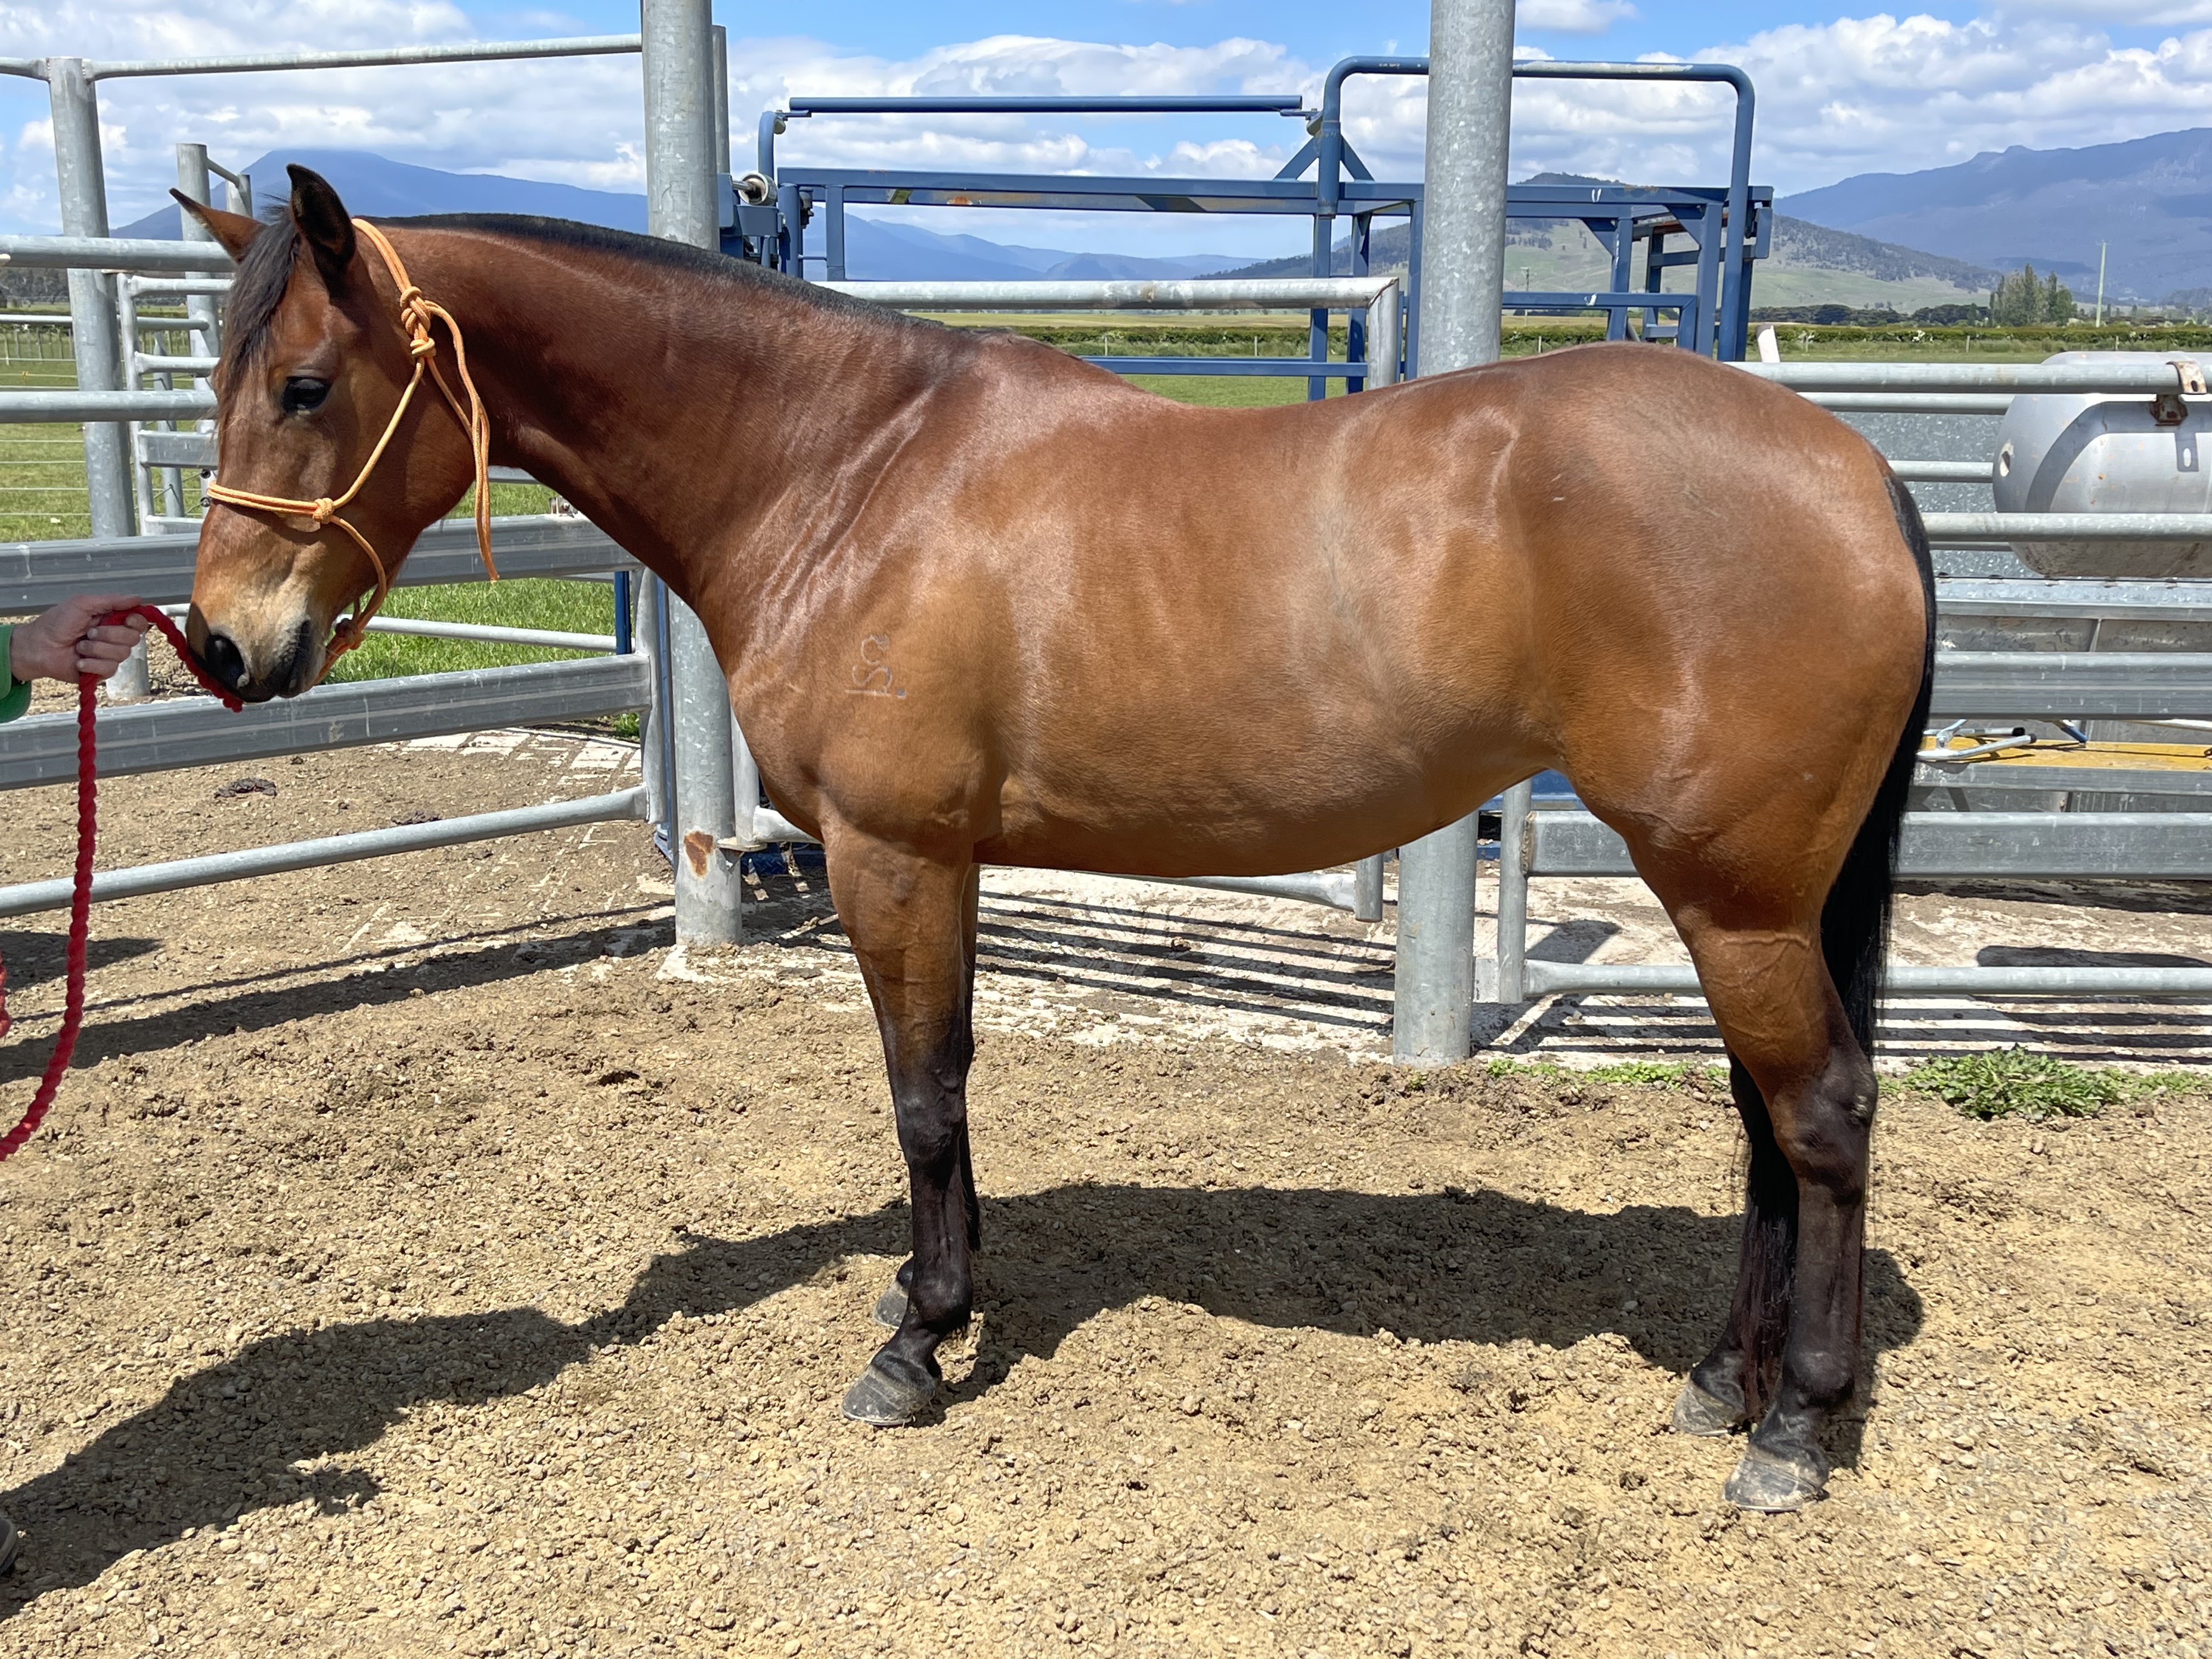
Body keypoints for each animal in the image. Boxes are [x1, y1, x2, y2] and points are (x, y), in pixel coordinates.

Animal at [173, 166, 1933, 1513]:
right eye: (218, 384)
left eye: (306, 387)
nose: (222, 647)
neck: (844, 467)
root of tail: (1859, 469)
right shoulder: (930, 859)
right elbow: (942, 1089)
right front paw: (931, 1306)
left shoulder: (895, 855)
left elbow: (922, 1096)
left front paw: (915, 1344)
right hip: (1740, 898)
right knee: (1764, 1130)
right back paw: (1721, 1382)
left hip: (1733, 894)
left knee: (1820, 1117)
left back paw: (1791, 1429)